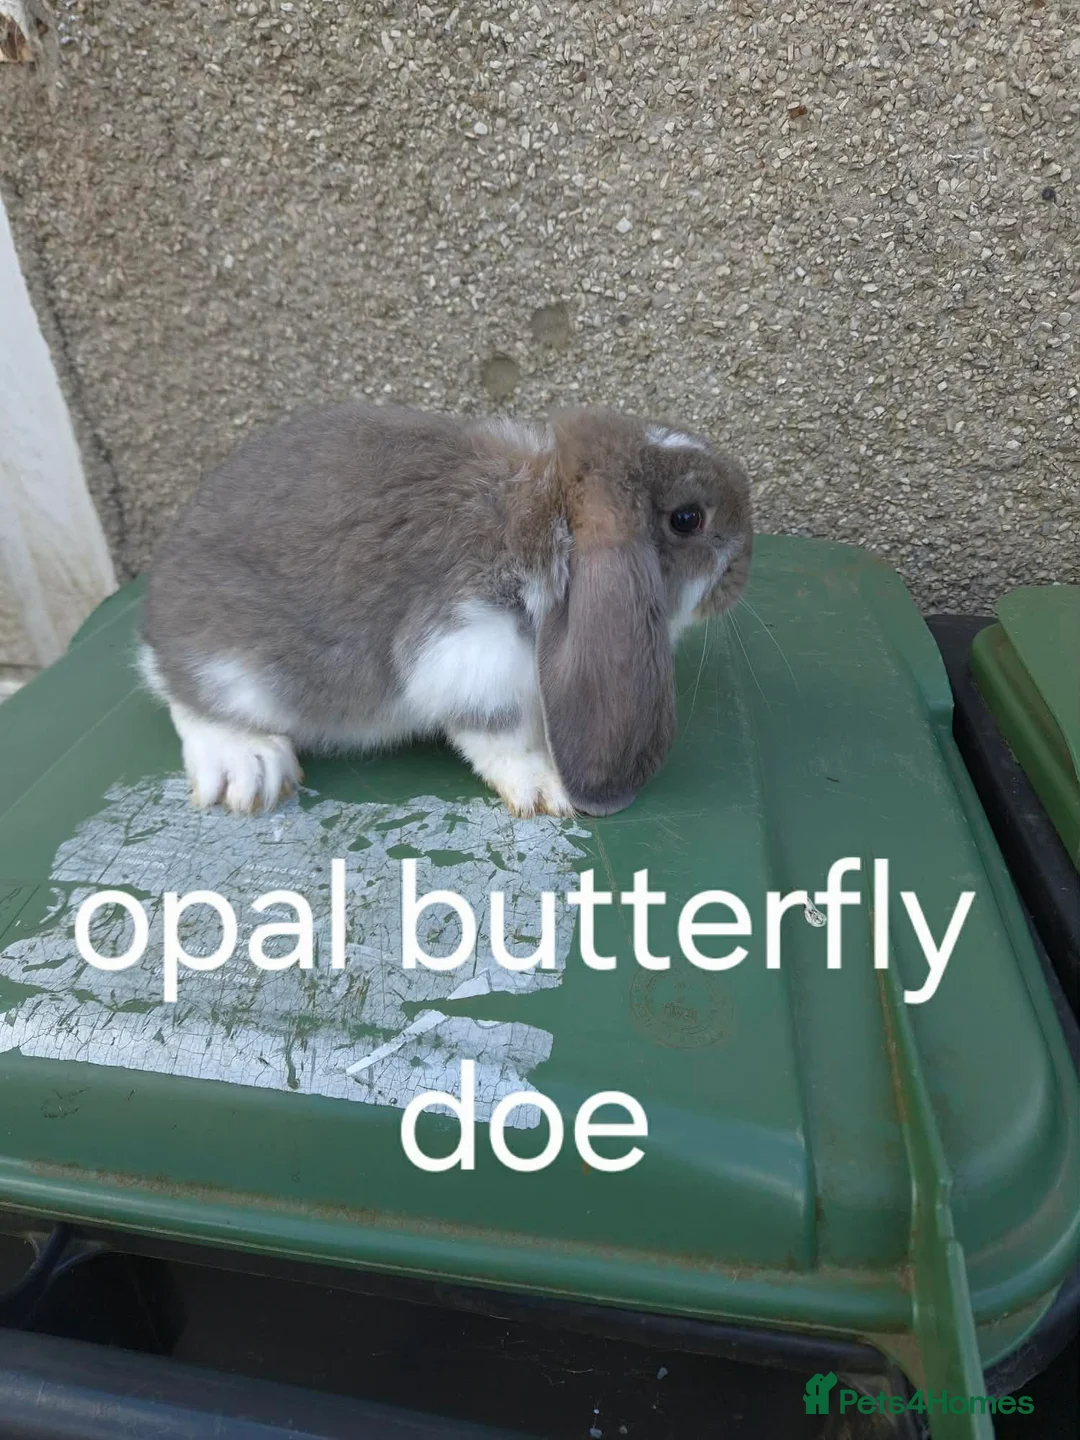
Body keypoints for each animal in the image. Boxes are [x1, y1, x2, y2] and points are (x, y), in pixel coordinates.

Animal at [138, 402, 753, 819]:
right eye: (688, 519)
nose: (744, 567)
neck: (550, 513)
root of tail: (156, 620)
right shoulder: (469, 648)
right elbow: (495, 733)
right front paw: (544, 789)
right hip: (235, 669)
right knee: (186, 701)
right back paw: (247, 765)